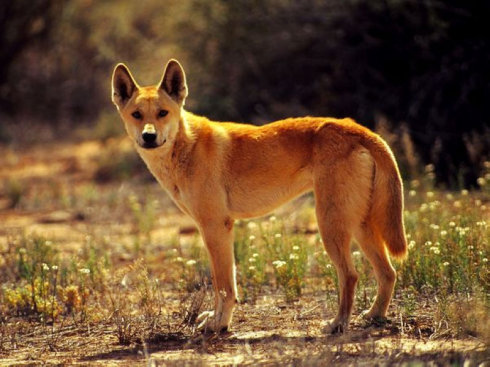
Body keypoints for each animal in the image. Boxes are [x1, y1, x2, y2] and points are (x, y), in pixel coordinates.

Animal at [111, 59, 406, 334]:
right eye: (137, 114)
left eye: (163, 113)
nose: (149, 136)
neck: (185, 146)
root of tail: (358, 129)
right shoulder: (218, 228)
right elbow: (226, 283)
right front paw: (218, 320)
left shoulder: (215, 226)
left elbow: (223, 286)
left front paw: (219, 324)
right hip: (359, 225)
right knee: (388, 273)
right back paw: (374, 315)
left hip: (331, 224)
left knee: (351, 275)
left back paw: (338, 324)